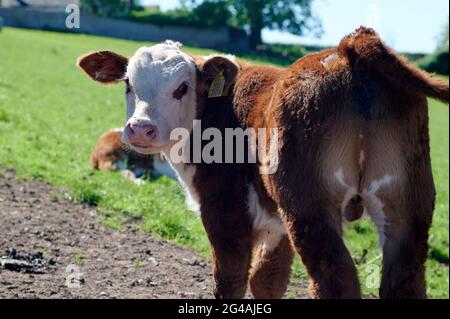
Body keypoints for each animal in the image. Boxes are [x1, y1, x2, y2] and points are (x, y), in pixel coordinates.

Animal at [79, 28, 448, 300]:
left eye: (182, 88)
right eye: (128, 84)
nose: (141, 128)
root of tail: (348, 49)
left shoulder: (225, 209)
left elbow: (229, 279)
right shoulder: (276, 222)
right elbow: (267, 280)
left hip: (309, 208)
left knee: (335, 279)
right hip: (406, 205)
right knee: (404, 278)